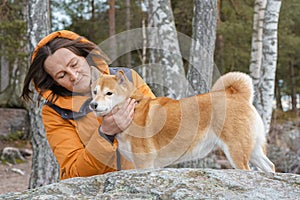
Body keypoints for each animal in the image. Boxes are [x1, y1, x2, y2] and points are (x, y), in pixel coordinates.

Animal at [90, 69, 276, 172]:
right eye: (94, 91)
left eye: (109, 93)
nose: (93, 105)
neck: (133, 108)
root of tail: (237, 95)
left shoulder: (144, 164)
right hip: (253, 150)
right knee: (270, 167)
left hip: (236, 151)